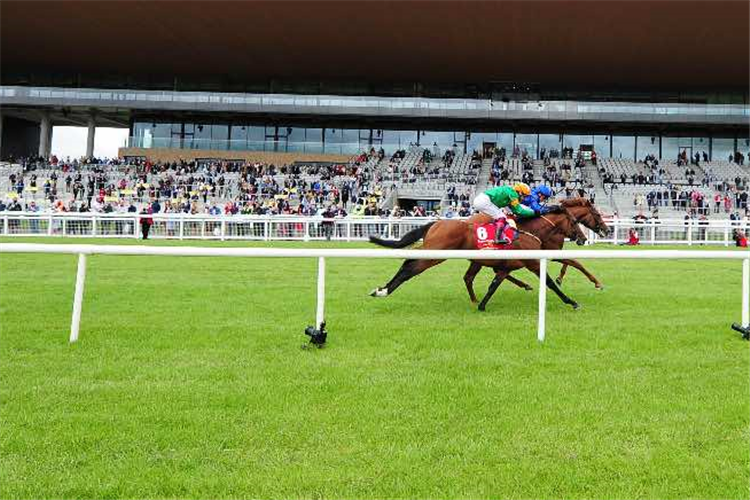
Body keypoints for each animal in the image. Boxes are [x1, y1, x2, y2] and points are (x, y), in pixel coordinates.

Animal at [368, 206, 588, 308]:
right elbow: (549, 283)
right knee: (409, 268)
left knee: (409, 263)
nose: (583, 238)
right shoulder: (532, 262)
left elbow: (494, 284)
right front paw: (571, 301)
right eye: (575, 221)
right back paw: (383, 291)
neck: (528, 231)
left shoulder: (506, 266)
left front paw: (482, 305)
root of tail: (436, 223)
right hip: (435, 254)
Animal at [462, 197, 612, 302]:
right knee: (470, 277)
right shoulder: (551, 252)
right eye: (598, 214)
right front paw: (597, 283)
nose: (607, 230)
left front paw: (559, 278)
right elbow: (575, 262)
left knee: (477, 275)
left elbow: (569, 262)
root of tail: (467, 221)